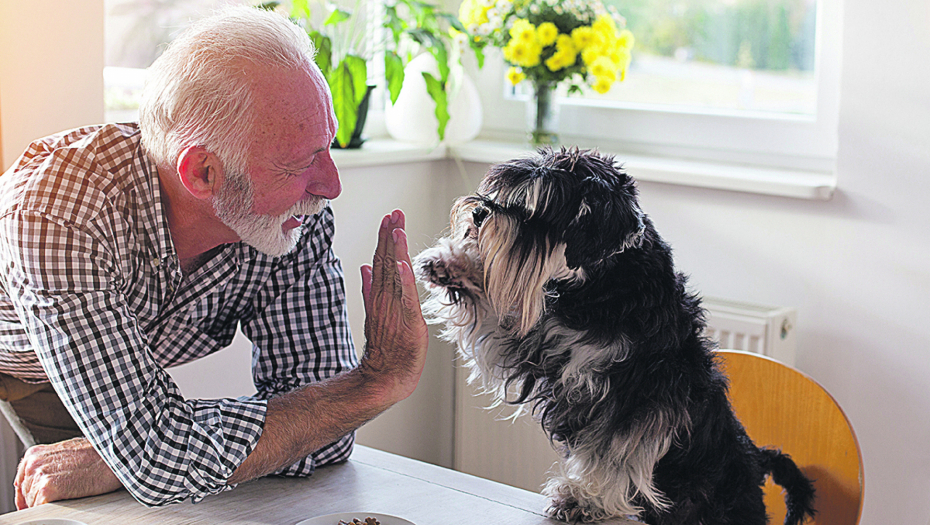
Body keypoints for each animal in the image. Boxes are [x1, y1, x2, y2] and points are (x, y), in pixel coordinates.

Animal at [414, 147, 812, 524]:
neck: (603, 286)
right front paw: (453, 264)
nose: (479, 213)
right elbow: (495, 315)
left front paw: (583, 500)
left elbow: (612, 453)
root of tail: (756, 460)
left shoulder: (637, 398)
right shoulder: (537, 345)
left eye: (538, 208)